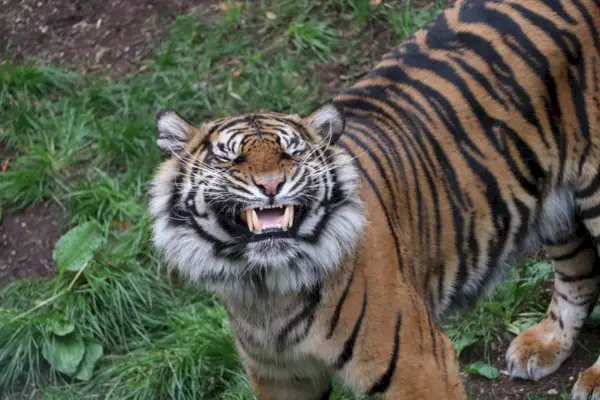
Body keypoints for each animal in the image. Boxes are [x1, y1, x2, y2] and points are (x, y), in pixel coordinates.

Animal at [150, 0, 600, 398]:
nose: (271, 184)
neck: (267, 290)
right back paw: (543, 345)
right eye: (230, 157)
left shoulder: (419, 365)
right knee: (580, 271)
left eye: (292, 153)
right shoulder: (280, 378)